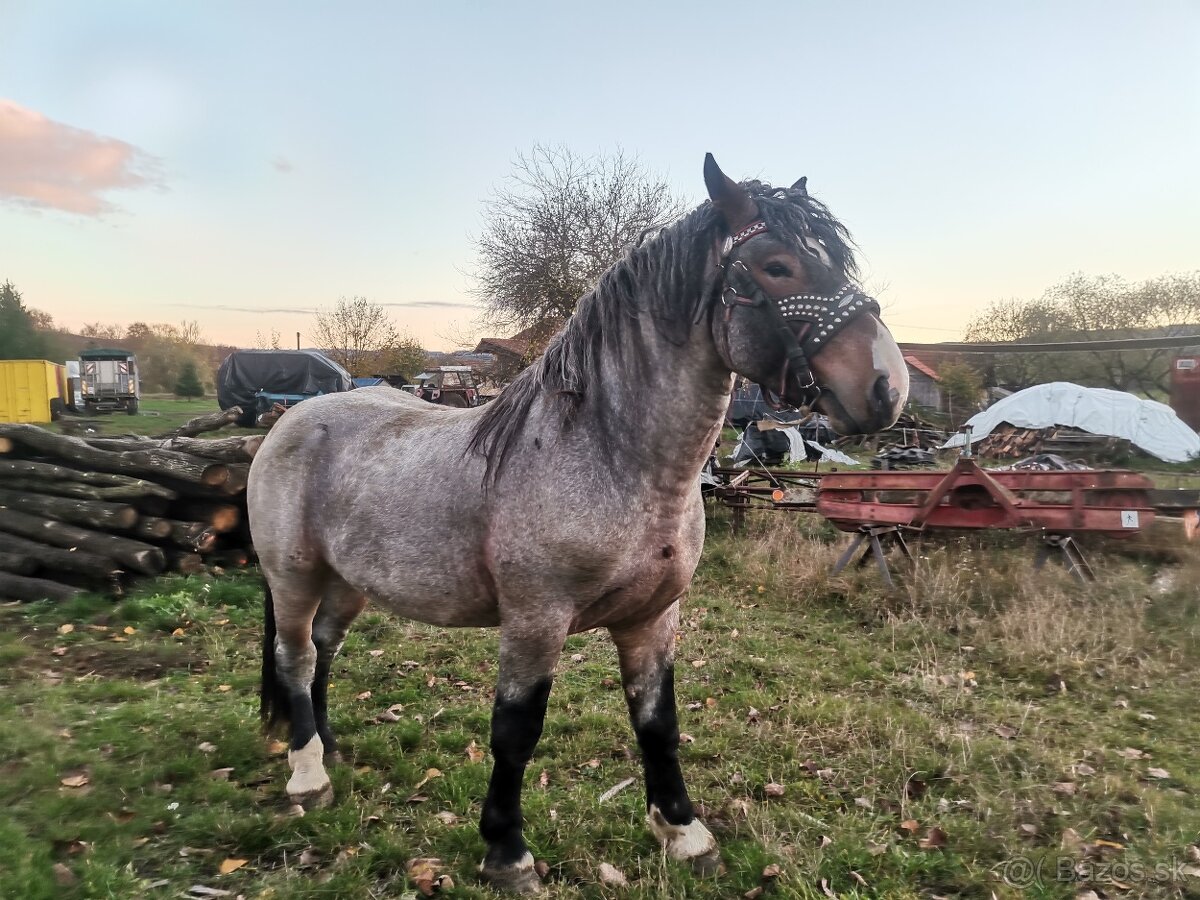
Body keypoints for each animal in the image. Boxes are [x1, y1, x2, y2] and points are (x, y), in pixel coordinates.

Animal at [253, 157, 907, 897]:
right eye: (777, 267)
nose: (887, 386)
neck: (606, 455)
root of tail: (292, 419)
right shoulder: (536, 619)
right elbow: (515, 731)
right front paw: (507, 853)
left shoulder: (654, 618)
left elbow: (657, 723)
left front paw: (685, 835)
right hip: (294, 577)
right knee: (297, 657)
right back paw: (307, 777)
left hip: (349, 582)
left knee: (324, 652)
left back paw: (327, 748)